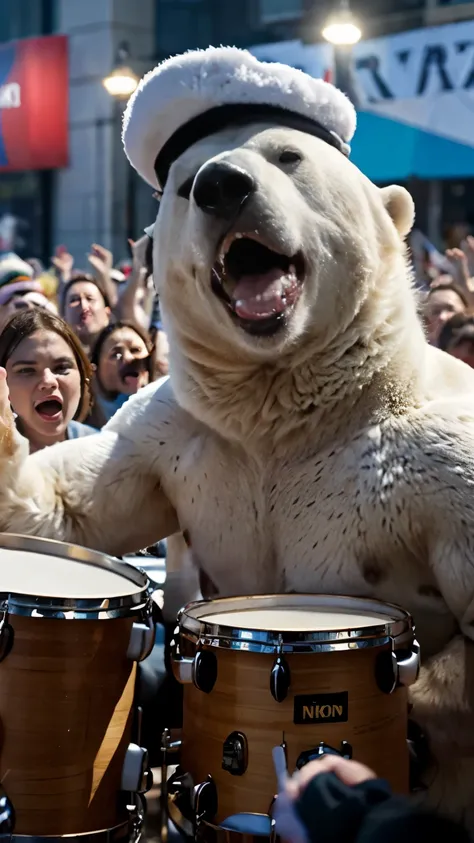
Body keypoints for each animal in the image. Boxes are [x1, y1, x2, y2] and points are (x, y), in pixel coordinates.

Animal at [0, 49, 474, 836]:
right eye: (187, 182)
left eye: (288, 155)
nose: (223, 184)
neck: (282, 409)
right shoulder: (173, 432)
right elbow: (79, 509)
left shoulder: (444, 464)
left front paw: (409, 728)